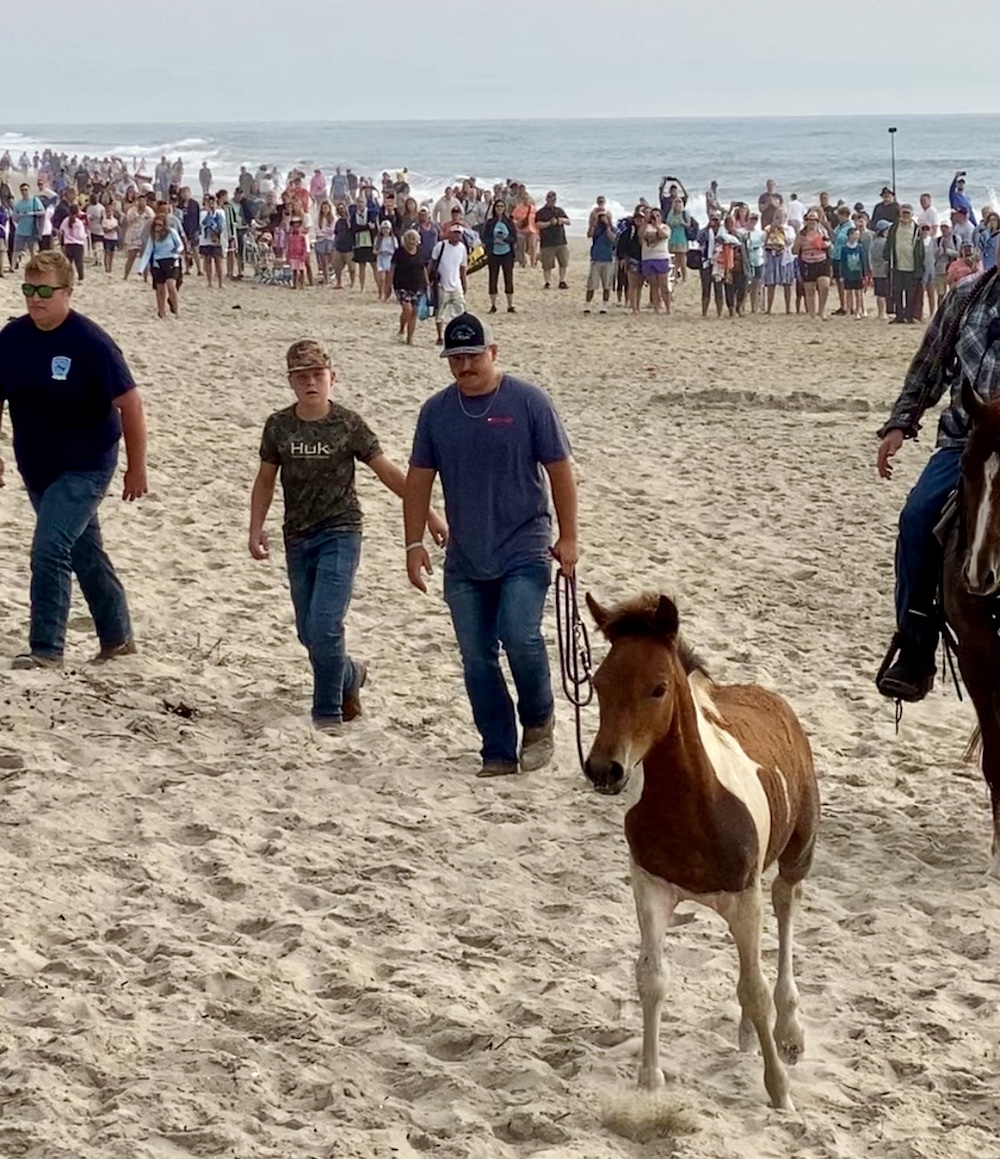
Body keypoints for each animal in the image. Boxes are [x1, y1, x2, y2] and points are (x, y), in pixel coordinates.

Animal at [586, 593, 820, 1108]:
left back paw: (790, 1033)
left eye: (657, 689)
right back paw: (750, 1035)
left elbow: (754, 988)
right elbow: (652, 979)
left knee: (786, 905)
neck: (693, 808)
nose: (603, 769)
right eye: (597, 682)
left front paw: (780, 1091)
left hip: (796, 856)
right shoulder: (650, 886)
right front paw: (650, 1081)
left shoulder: (745, 898)